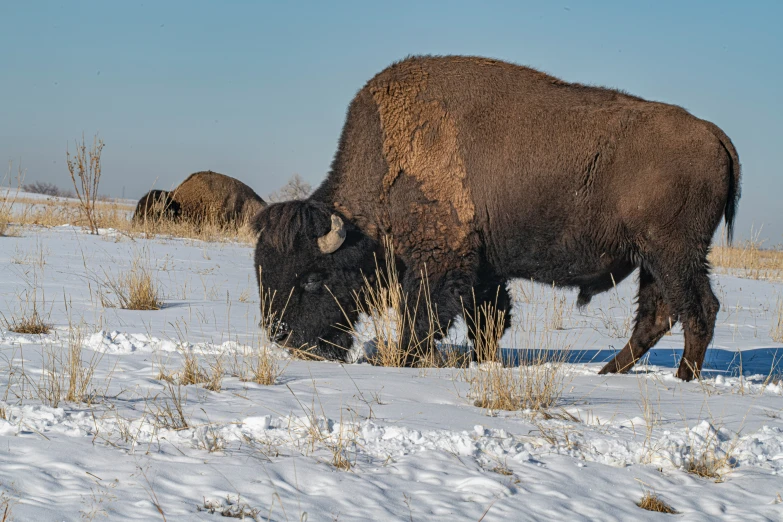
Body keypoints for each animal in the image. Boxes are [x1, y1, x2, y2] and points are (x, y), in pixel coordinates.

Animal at [253, 54, 740, 380]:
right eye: (262, 271)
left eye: (313, 278)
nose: (282, 337)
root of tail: (716, 136)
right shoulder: (483, 269)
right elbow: (487, 320)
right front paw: (481, 362)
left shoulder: (440, 261)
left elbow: (422, 319)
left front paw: (406, 361)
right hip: (652, 260)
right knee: (657, 315)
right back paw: (609, 373)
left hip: (673, 254)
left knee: (698, 309)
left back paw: (681, 378)